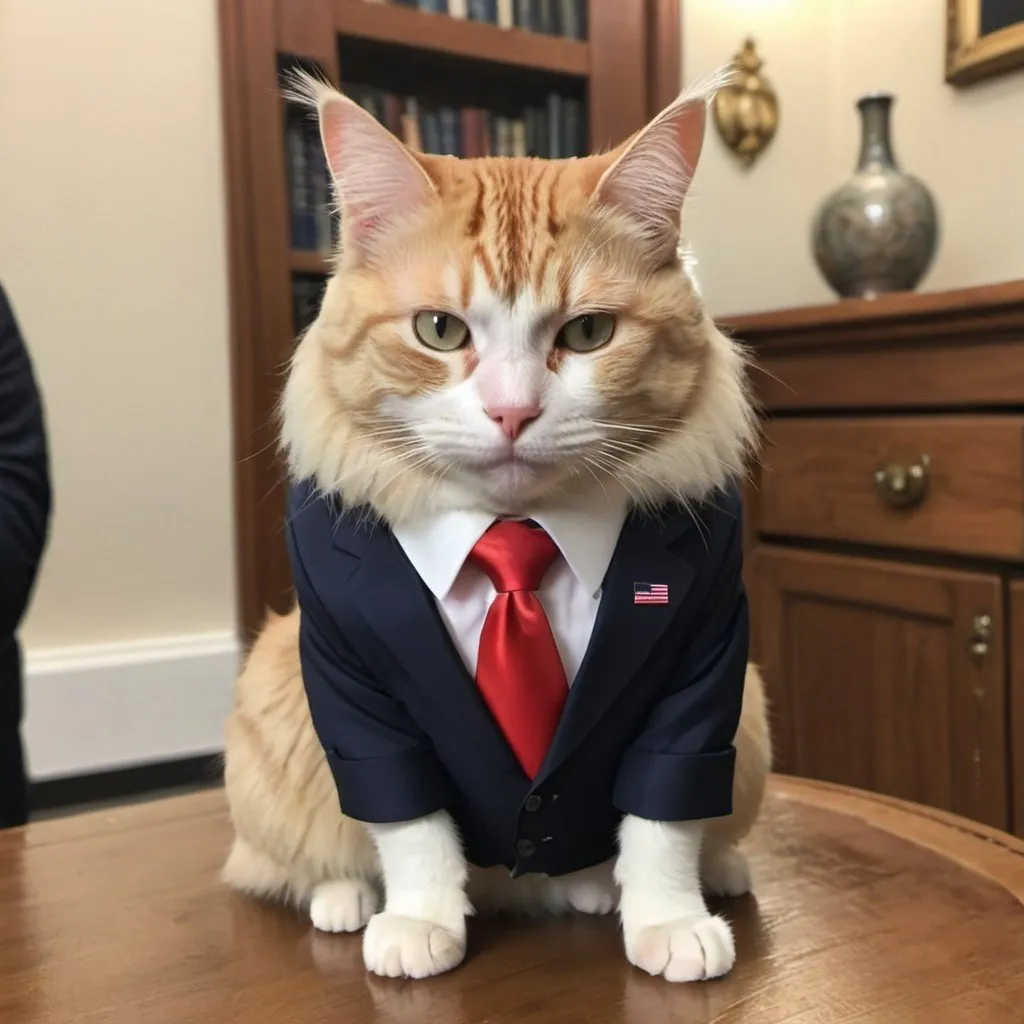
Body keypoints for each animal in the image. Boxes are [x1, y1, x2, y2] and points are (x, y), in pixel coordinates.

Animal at [222, 70, 770, 983]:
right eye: (439, 330)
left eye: (589, 332)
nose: (513, 413)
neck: (515, 529)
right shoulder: (352, 680)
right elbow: (409, 822)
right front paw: (419, 921)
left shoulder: (704, 663)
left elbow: (663, 816)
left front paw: (669, 919)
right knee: (290, 861)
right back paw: (346, 900)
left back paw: (638, 881)